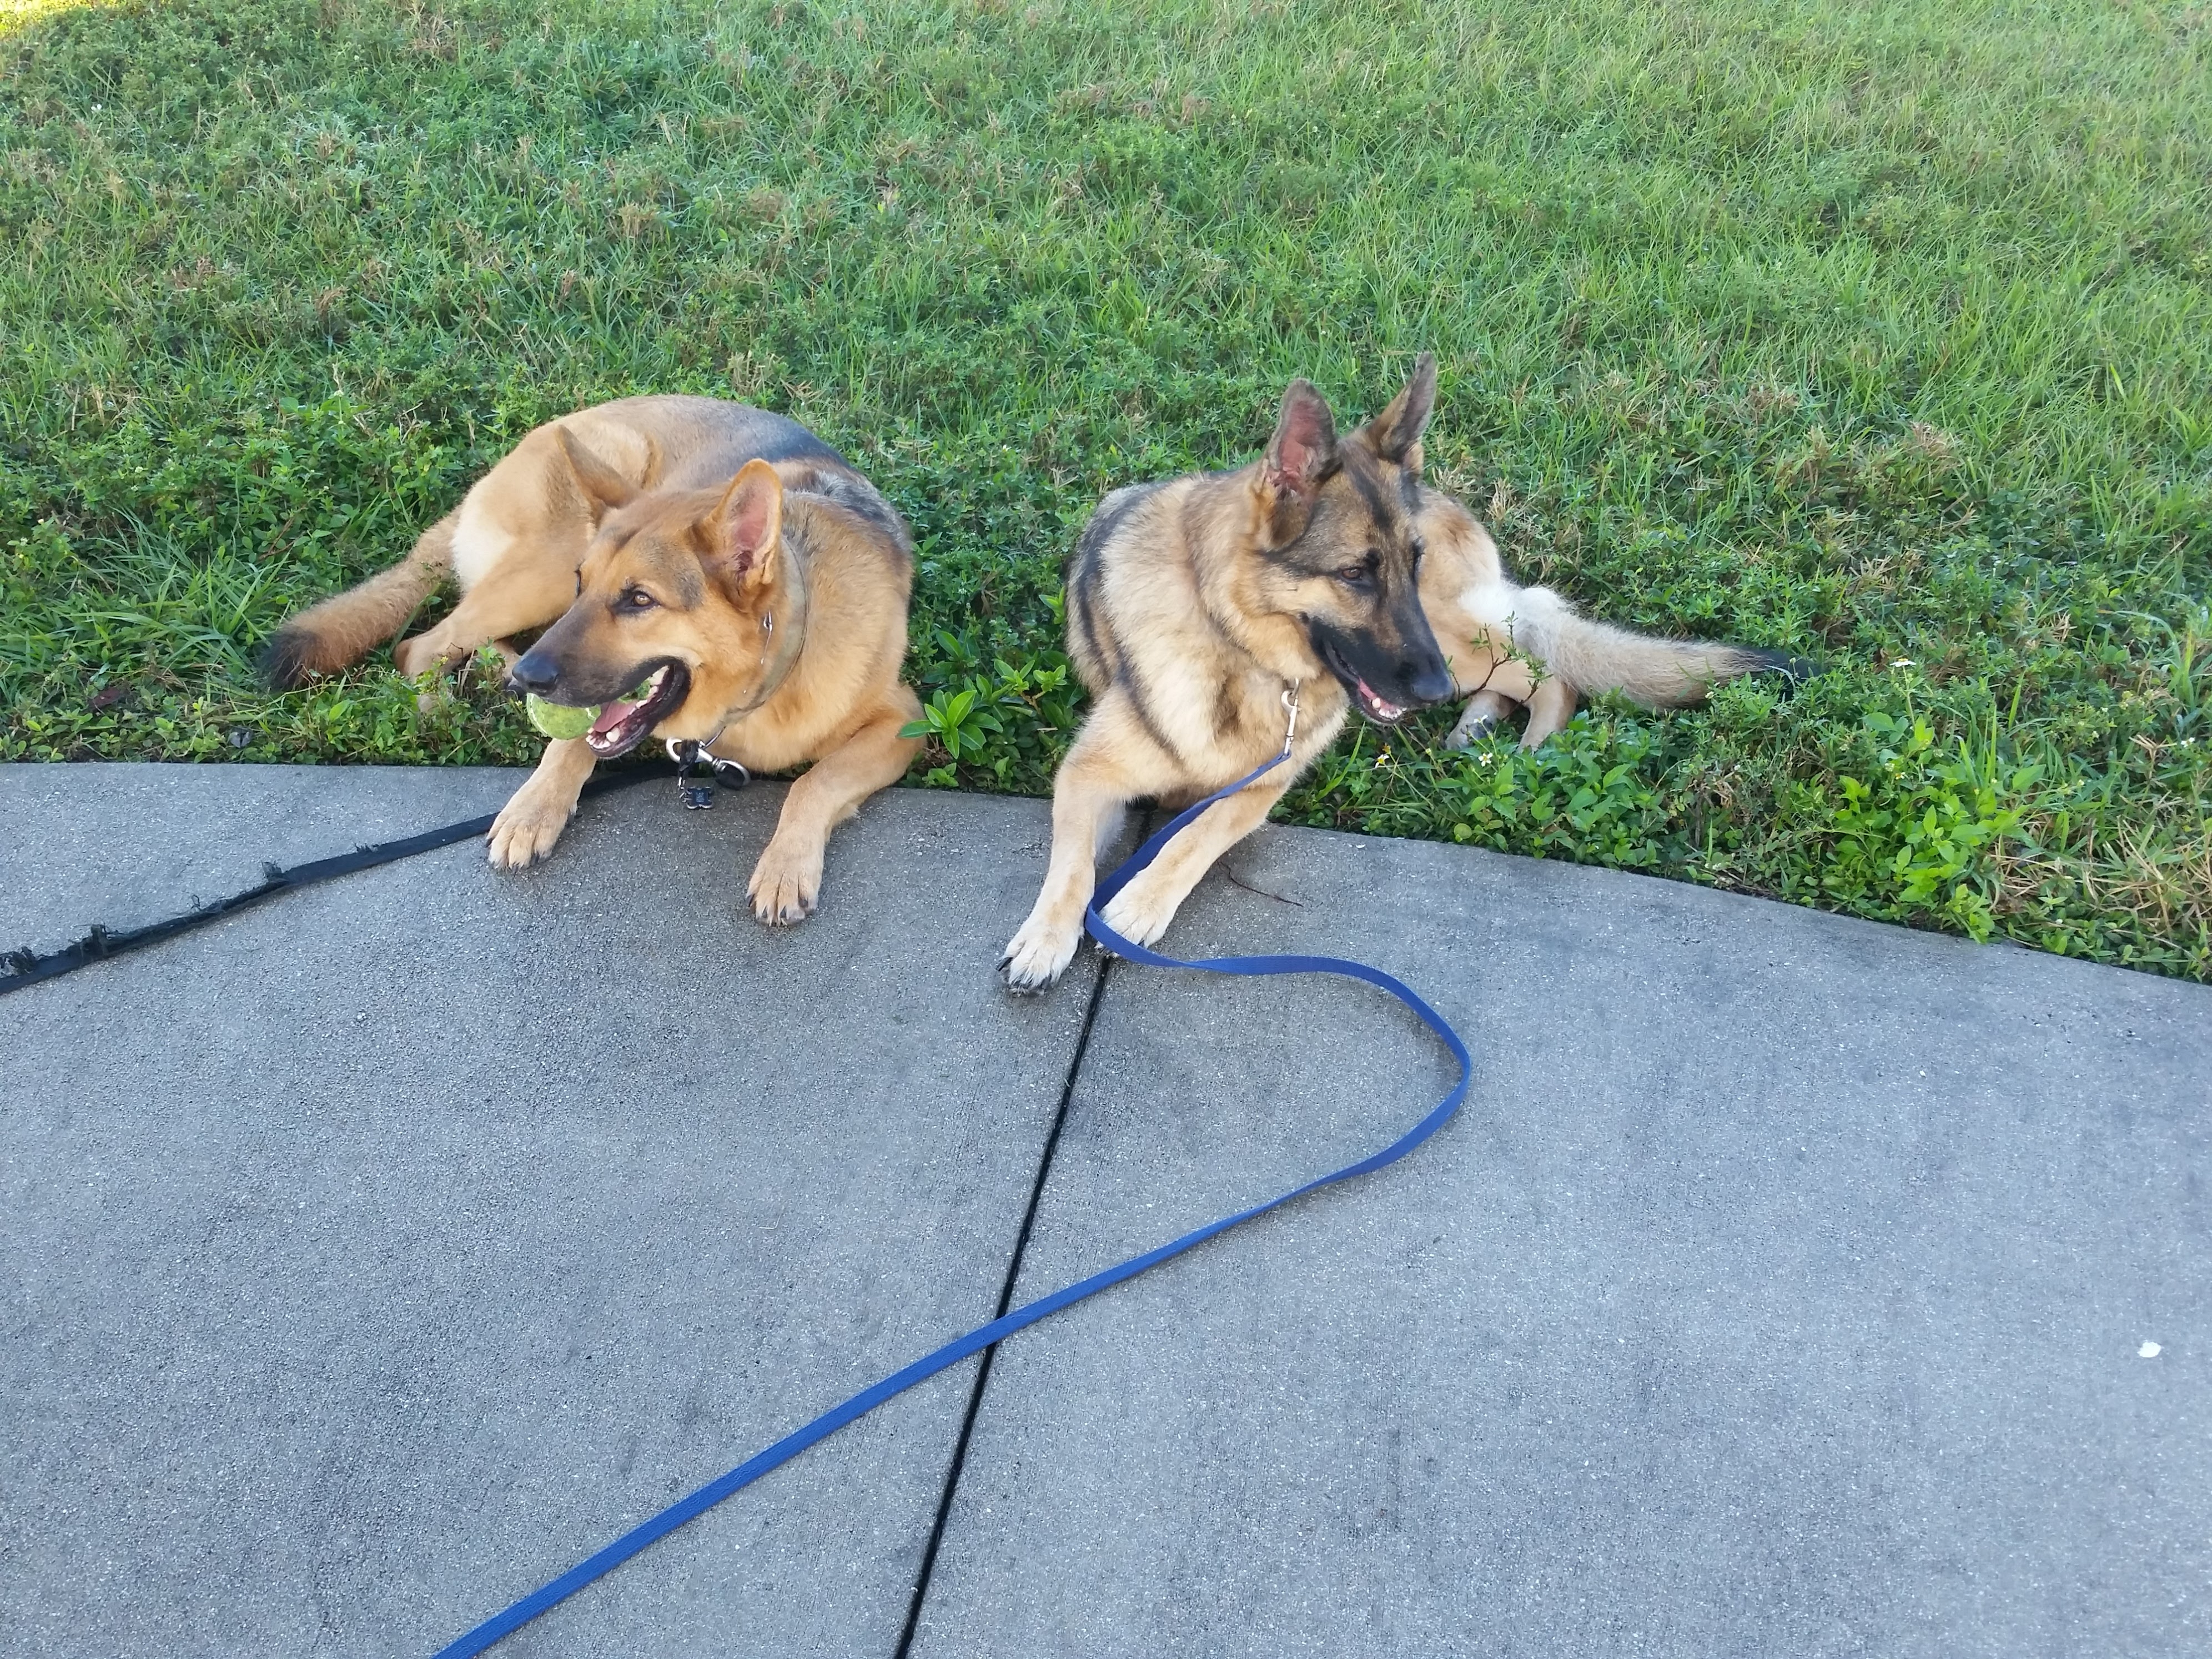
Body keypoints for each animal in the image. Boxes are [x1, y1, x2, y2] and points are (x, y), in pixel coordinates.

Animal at [268, 398, 924, 929]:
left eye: (639, 600)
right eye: (590, 584)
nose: (532, 680)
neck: (769, 675)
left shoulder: (902, 723)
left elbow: (814, 783)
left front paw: (786, 866)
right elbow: (572, 743)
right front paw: (535, 806)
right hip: (545, 572)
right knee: (423, 644)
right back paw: (453, 700)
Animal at [1004, 358, 1813, 995]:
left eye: (1409, 561)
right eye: (1356, 574)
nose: (1425, 694)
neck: (1237, 650)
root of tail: (1441, 495)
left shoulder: (1262, 790)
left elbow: (1193, 839)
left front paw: (1139, 905)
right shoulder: (1087, 774)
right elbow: (1073, 866)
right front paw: (1046, 937)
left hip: (1454, 641)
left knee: (1551, 671)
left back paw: (1526, 749)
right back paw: (1475, 728)